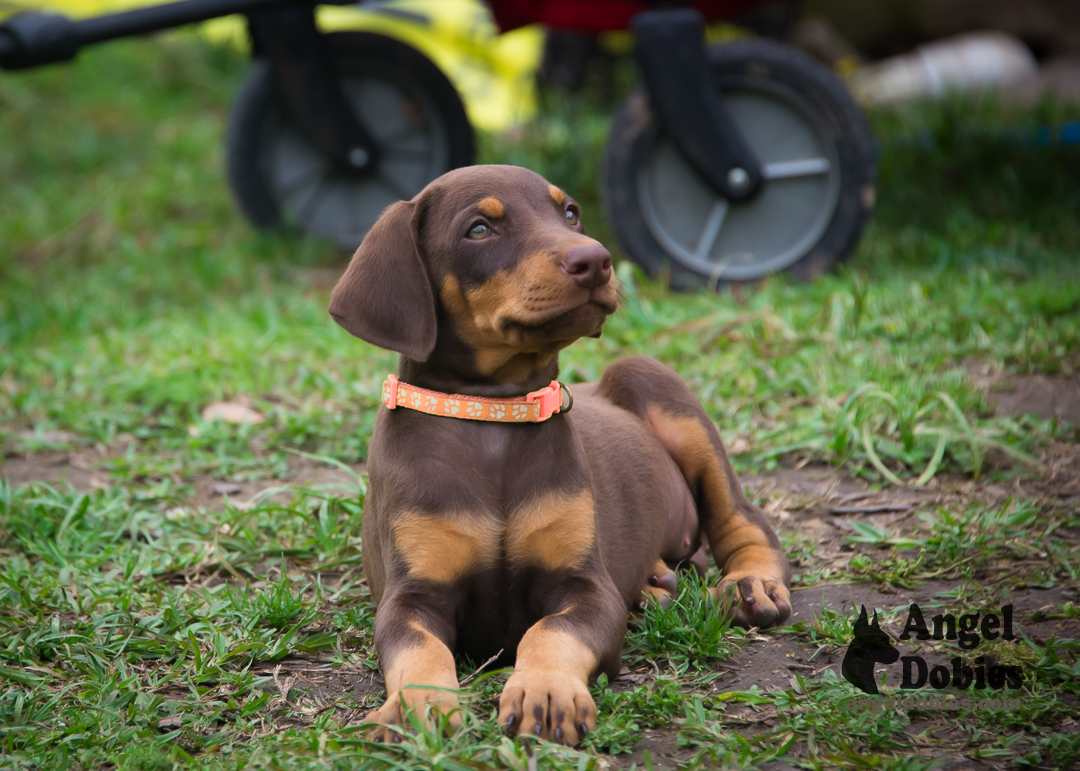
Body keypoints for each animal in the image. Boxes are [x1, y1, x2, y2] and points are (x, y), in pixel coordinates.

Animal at [324, 164, 790, 742]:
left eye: (569, 213)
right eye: (479, 230)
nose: (596, 259)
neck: (494, 415)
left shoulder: (584, 586)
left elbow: (551, 631)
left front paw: (545, 690)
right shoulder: (411, 595)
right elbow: (419, 648)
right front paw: (417, 704)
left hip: (649, 378)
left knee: (740, 517)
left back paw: (751, 582)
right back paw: (654, 586)